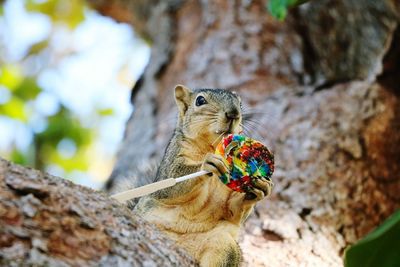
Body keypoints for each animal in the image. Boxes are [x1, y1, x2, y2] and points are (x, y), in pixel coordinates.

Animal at [134, 85, 272, 266]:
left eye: (240, 104)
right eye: (200, 100)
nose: (233, 114)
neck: (210, 146)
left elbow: (233, 212)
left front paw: (260, 188)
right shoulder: (171, 161)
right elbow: (170, 188)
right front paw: (206, 163)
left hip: (222, 244)